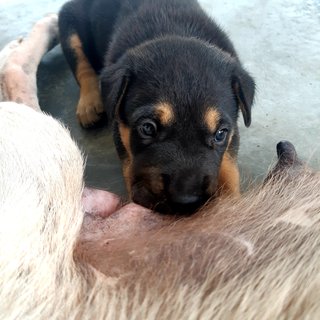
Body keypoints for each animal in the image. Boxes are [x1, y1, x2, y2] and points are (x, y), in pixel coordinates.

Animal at [58, 0, 256, 215]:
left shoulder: (233, 132)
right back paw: (90, 103)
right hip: (68, 21)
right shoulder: (119, 127)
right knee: (82, 66)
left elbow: (229, 164)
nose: (185, 201)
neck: (173, 30)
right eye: (147, 128)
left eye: (220, 134)